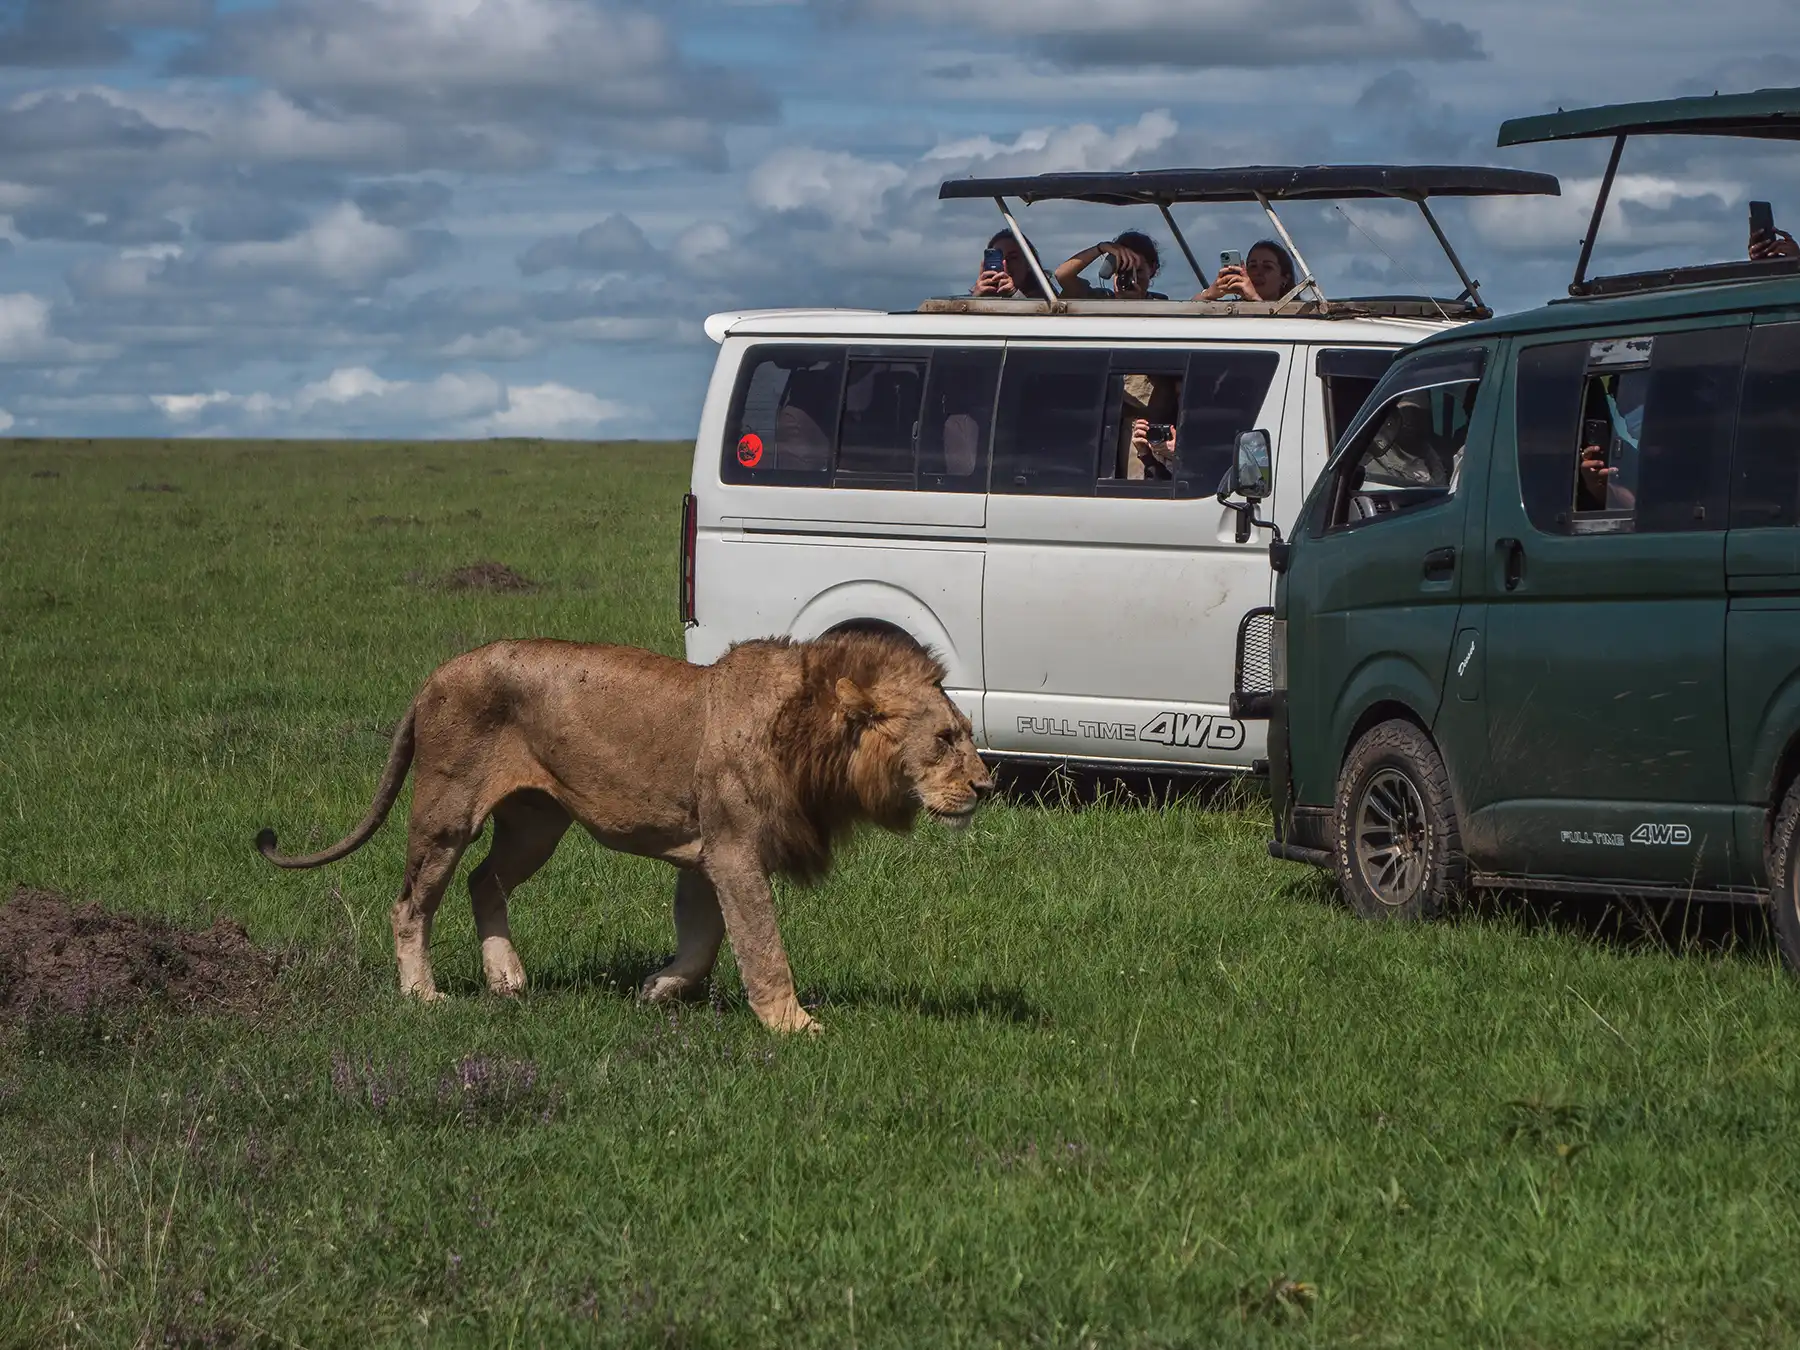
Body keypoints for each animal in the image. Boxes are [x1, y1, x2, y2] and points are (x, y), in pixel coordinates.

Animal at [254, 630, 994, 1033]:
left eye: (967, 734)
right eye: (945, 739)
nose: (987, 788)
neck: (815, 746)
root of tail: (437, 672)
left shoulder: (706, 854)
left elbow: (703, 941)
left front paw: (660, 989)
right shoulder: (733, 849)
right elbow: (762, 947)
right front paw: (795, 1026)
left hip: (536, 823)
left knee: (484, 880)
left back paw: (507, 979)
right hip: (446, 811)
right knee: (411, 902)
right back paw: (423, 995)